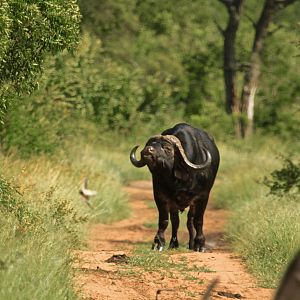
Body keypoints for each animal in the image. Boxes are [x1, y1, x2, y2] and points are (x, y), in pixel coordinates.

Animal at [129, 123, 220, 252]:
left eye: (167, 148)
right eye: (150, 144)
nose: (147, 150)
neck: (180, 180)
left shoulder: (203, 196)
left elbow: (198, 220)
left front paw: (200, 245)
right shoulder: (160, 196)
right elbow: (164, 221)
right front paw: (158, 243)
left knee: (190, 220)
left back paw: (192, 244)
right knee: (176, 221)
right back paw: (174, 244)